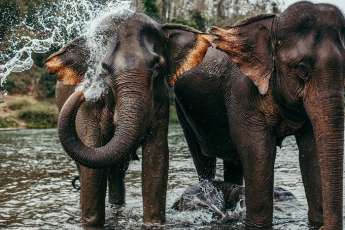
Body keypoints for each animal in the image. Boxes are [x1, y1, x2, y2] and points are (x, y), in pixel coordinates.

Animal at [44, 13, 214, 229]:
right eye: (104, 69)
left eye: (157, 66)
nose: (84, 92)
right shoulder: (88, 110)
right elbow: (92, 158)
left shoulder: (160, 100)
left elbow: (156, 158)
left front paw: (154, 224)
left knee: (116, 171)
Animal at [175, 1, 344, 230]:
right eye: (302, 70)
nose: (326, 226)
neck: (273, 24)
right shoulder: (242, 92)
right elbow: (258, 149)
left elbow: (311, 150)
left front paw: (317, 222)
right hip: (182, 111)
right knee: (203, 159)